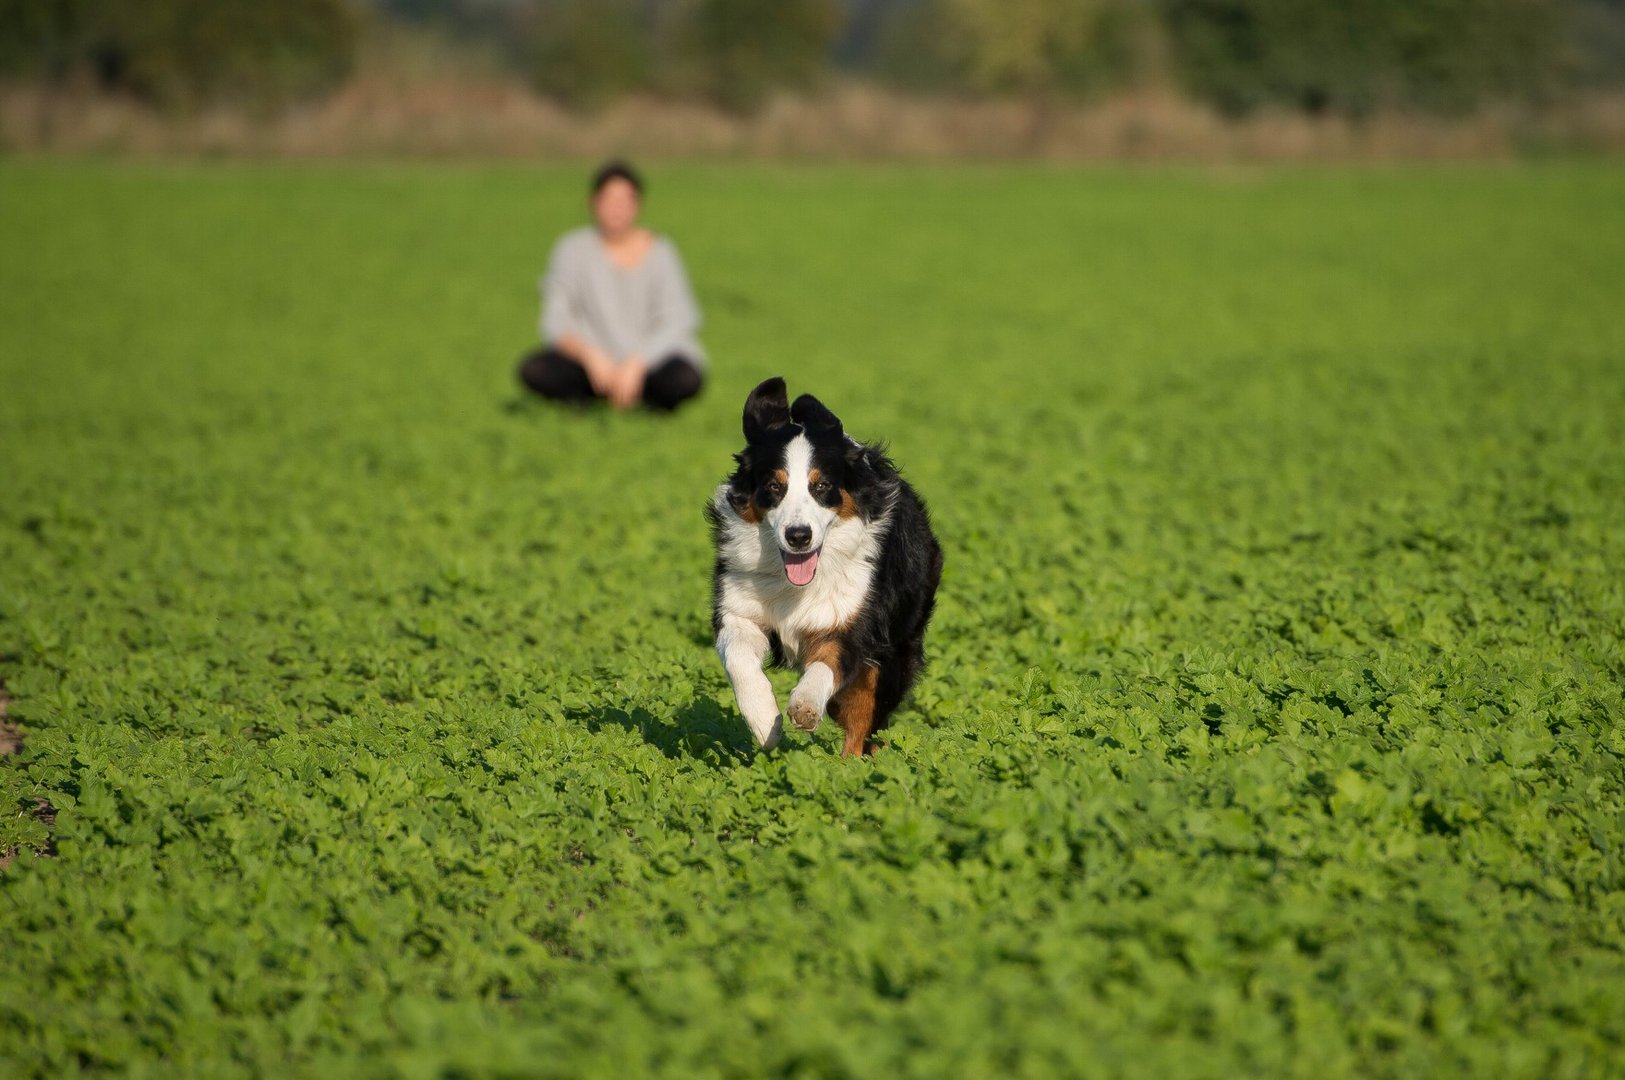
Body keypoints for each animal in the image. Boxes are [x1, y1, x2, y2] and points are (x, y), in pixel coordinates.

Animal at [705, 375, 949, 753]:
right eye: (774, 486)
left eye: (821, 486)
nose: (798, 536)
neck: (795, 585)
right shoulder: (738, 609)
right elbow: (739, 658)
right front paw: (764, 721)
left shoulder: (853, 624)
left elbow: (826, 664)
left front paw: (804, 706)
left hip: (893, 650)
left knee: (863, 724)